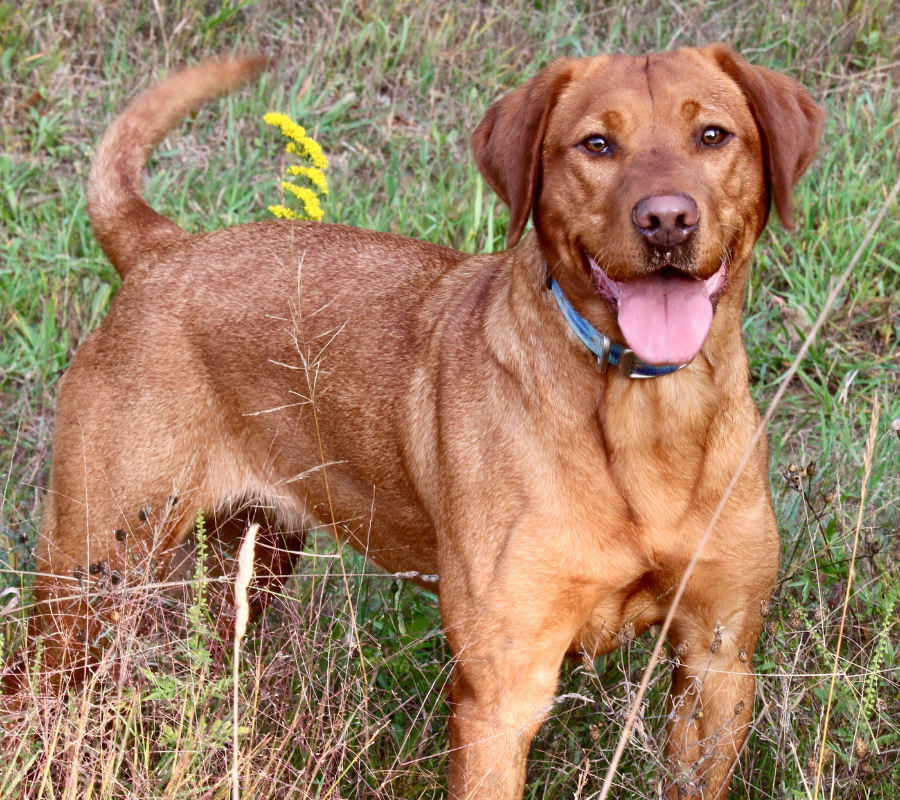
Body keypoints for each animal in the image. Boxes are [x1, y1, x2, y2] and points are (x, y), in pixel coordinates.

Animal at [10, 47, 824, 796]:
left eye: (713, 135)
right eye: (597, 144)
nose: (666, 220)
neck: (645, 420)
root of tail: (162, 250)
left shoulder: (717, 664)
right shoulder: (503, 696)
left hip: (255, 555)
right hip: (91, 578)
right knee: (28, 692)